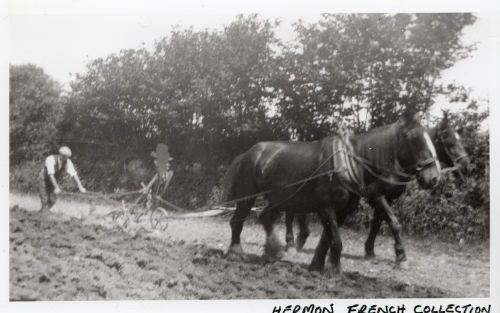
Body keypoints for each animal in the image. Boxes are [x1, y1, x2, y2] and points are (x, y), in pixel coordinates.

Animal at [225, 111, 440, 272]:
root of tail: (248, 153)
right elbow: (336, 241)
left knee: (266, 217)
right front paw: (334, 270)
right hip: (248, 196)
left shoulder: (343, 210)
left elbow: (327, 240)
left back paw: (273, 252)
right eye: (414, 138)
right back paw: (235, 253)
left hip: (280, 198)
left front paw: (317, 266)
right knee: (237, 221)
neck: (349, 164)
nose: (434, 177)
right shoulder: (326, 207)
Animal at [286, 111, 468, 264]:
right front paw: (400, 255)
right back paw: (291, 242)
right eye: (449, 140)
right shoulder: (376, 196)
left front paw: (370, 251)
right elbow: (394, 222)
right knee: (291, 212)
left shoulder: (388, 198)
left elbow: (377, 224)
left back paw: (299, 240)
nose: (466, 164)